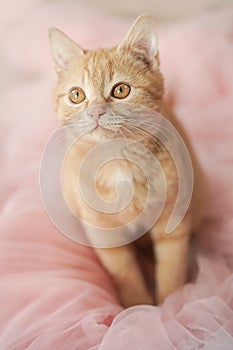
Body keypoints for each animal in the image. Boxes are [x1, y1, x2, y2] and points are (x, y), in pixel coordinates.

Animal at [48, 15, 205, 308]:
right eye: (77, 95)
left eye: (121, 90)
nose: (96, 111)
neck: (119, 161)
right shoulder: (103, 232)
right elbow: (125, 273)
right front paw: (137, 308)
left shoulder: (173, 220)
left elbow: (170, 269)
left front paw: (168, 308)